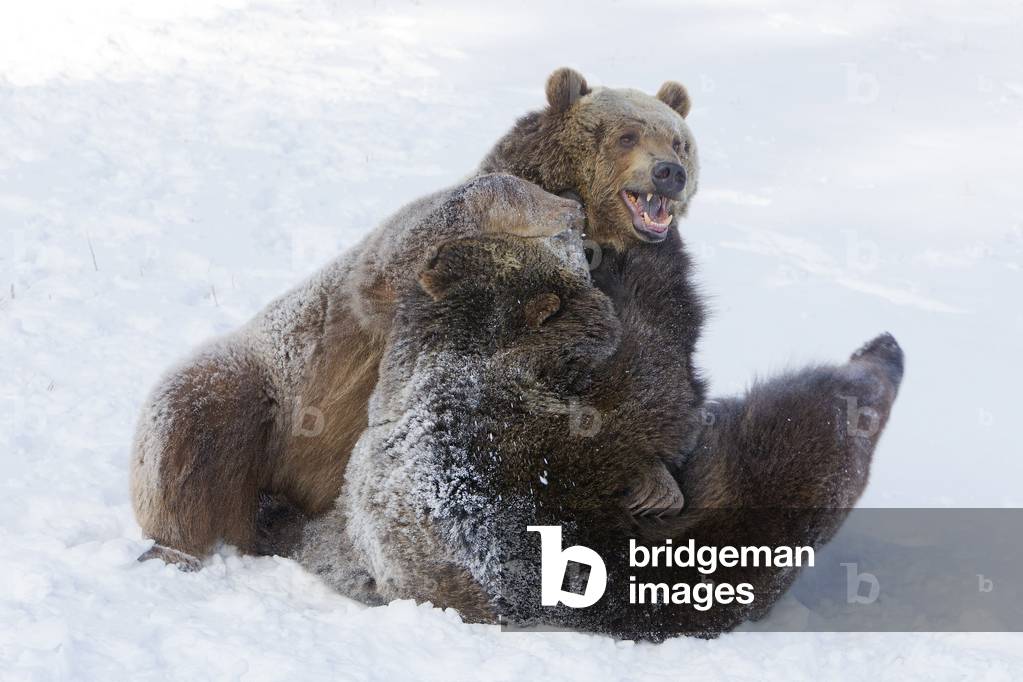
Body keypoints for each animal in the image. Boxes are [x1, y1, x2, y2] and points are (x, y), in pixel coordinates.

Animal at [130, 173, 589, 567]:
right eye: (545, 198)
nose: (575, 208)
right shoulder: (376, 282)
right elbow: (395, 265)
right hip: (254, 386)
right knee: (190, 425)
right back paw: (176, 547)